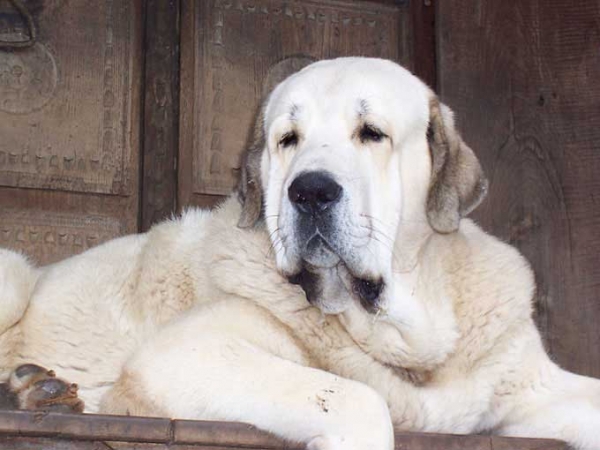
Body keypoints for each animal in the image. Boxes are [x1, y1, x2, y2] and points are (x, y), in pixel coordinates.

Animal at [0, 58, 596, 448]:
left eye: (371, 133)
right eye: (288, 139)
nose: (309, 191)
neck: (405, 338)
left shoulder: (529, 382)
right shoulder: (190, 351)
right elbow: (358, 400)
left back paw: (33, 392)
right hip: (13, 277)